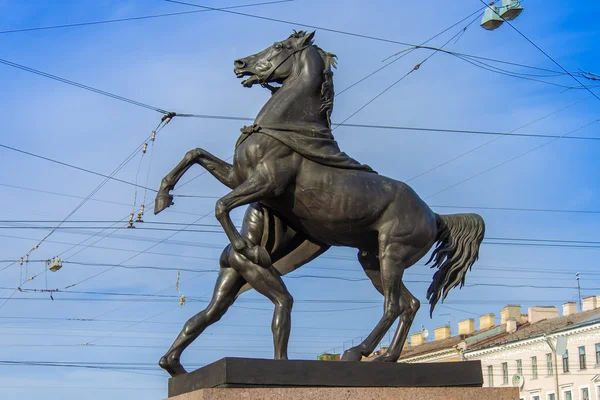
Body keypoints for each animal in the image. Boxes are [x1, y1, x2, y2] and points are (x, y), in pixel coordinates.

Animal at [154, 30, 482, 376]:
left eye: (279, 46)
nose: (239, 64)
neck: (283, 129)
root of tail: (435, 216)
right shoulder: (238, 176)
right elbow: (195, 154)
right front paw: (163, 197)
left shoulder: (266, 182)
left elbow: (221, 204)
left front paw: (248, 248)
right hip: (372, 259)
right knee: (410, 304)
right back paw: (386, 357)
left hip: (392, 254)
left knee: (392, 305)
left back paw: (356, 352)